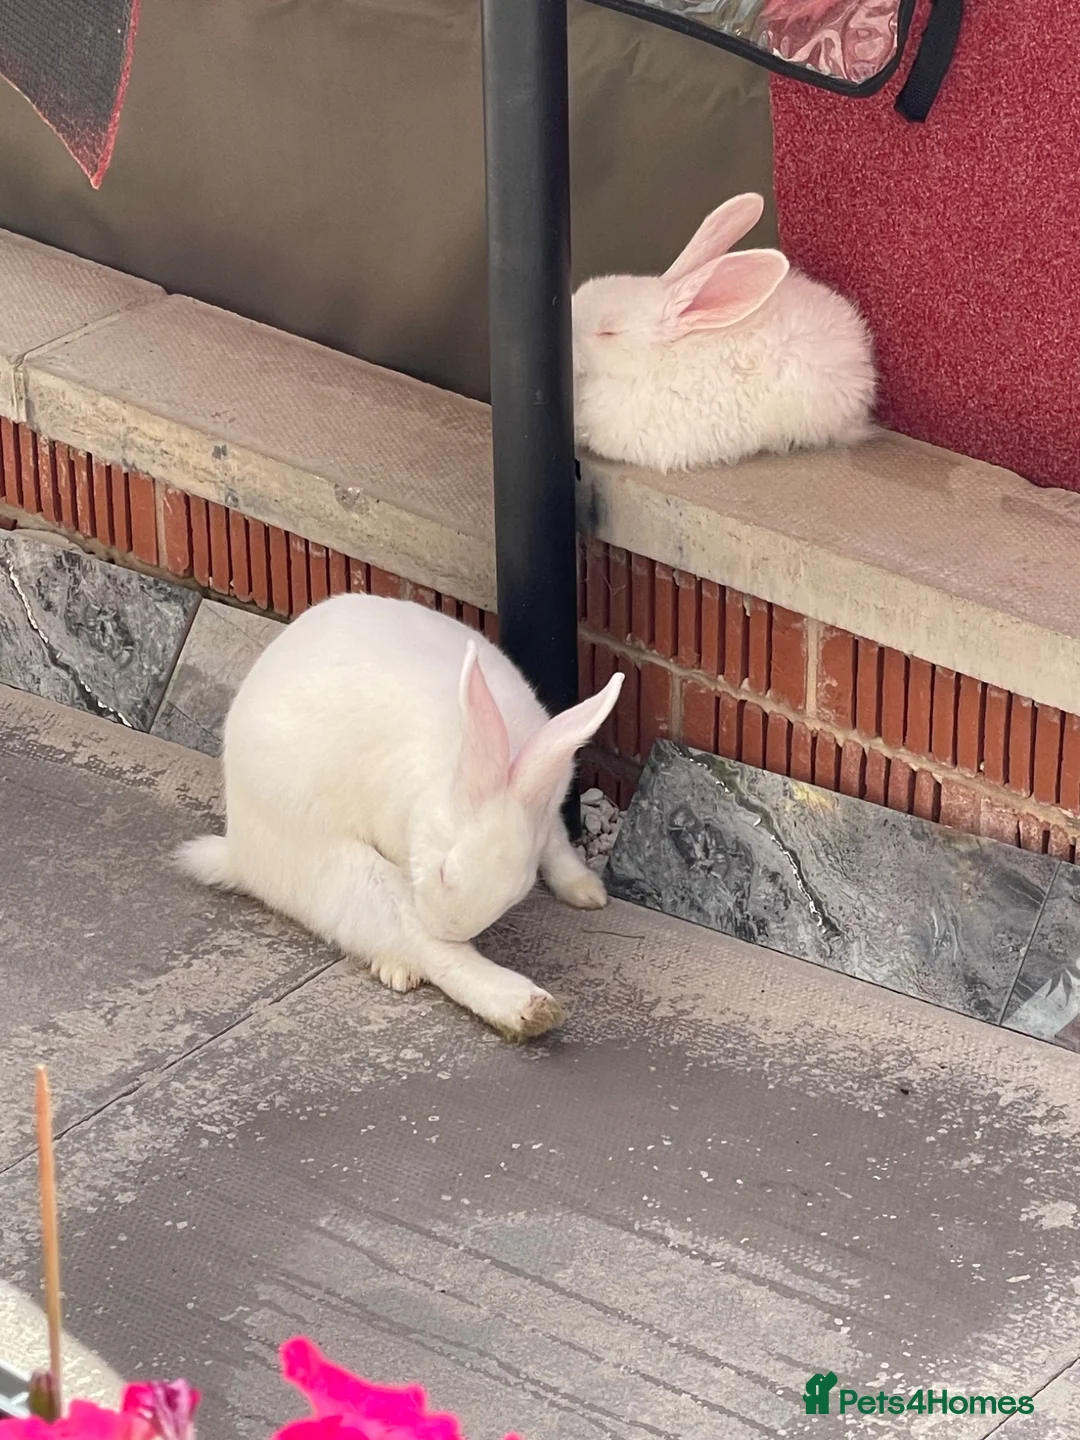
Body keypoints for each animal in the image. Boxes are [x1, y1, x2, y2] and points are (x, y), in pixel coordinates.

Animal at [177, 593, 624, 1040]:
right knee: (419, 945)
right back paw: (523, 1008)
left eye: (518, 891)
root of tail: (239, 852)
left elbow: (556, 843)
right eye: (445, 870)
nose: (448, 928)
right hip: (338, 870)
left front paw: (587, 890)